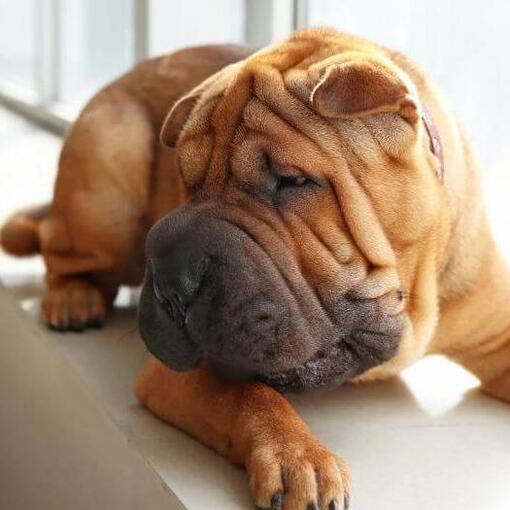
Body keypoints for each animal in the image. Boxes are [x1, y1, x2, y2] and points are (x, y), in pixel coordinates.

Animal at [2, 28, 510, 510]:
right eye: (185, 181)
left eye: (292, 181)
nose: (171, 280)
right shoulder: (185, 371)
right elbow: (250, 396)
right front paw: (299, 458)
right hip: (110, 181)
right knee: (56, 244)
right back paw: (73, 295)